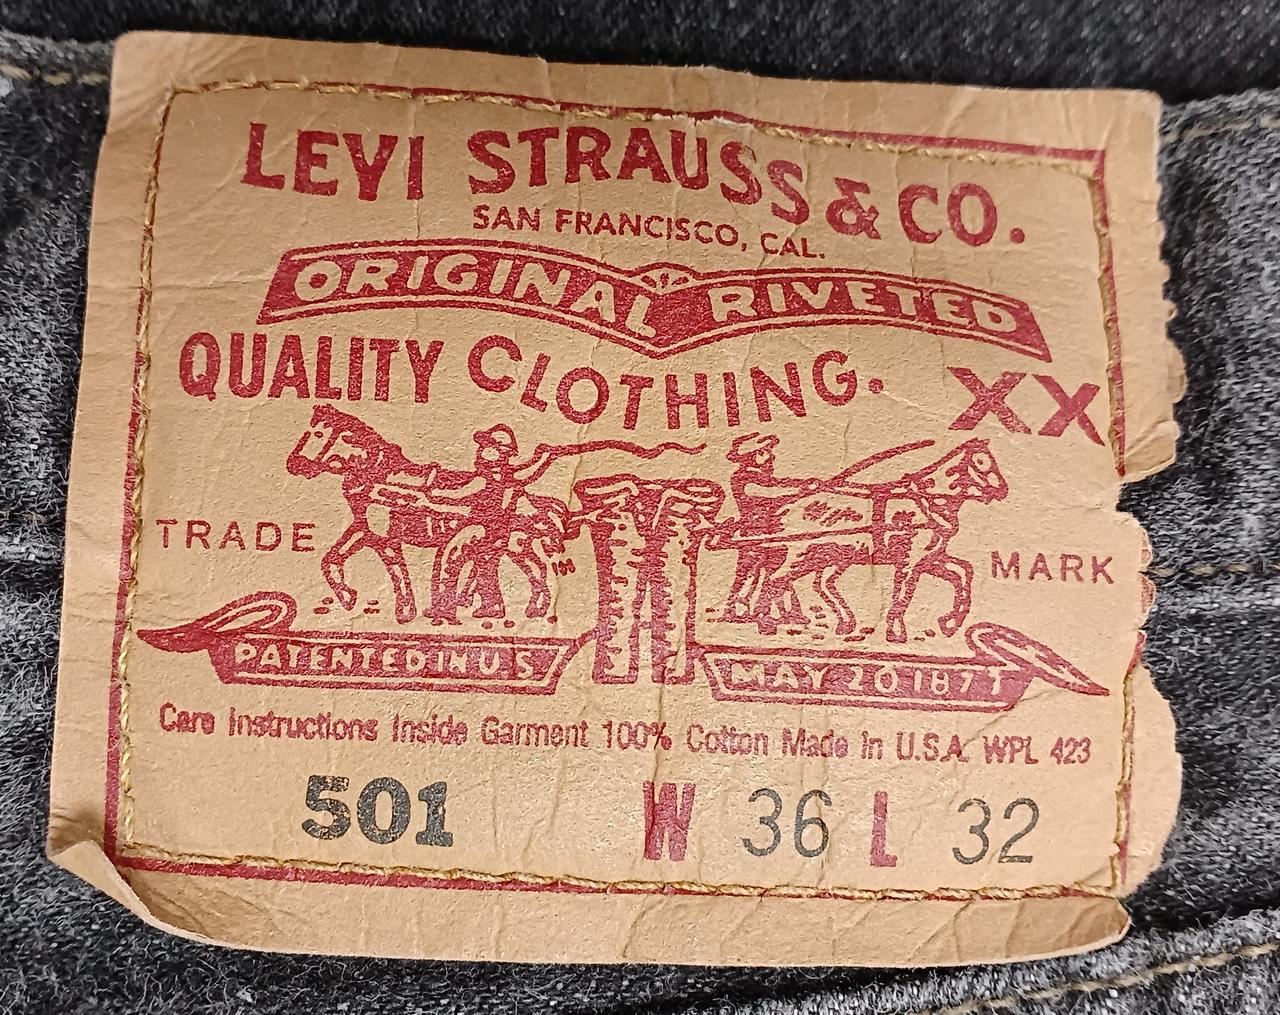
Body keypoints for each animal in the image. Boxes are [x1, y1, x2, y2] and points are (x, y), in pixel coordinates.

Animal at [285, 405, 567, 624]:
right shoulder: (365, 529)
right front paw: (348, 597)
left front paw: (405, 612)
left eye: (318, 433)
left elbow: (398, 572)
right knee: (526, 570)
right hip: (508, 546)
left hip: (512, 545)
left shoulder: (386, 538)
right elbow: (331, 559)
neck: (378, 475)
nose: (294, 464)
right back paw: (509, 610)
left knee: (536, 570)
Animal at [721, 439, 1007, 643]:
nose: (1003, 490)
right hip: (801, 555)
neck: (925, 502)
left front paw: (948, 623)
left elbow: (964, 572)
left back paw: (841, 623)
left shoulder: (929, 559)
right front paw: (896, 633)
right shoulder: (909, 561)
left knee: (817, 584)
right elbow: (902, 595)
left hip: (832, 557)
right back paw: (765, 621)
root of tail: (785, 509)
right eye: (981, 462)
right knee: (775, 580)